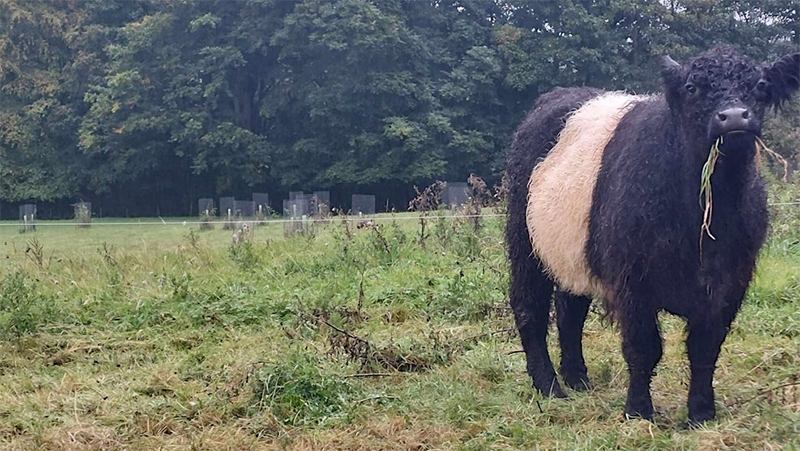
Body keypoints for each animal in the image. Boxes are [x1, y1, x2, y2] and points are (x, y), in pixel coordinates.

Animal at [506, 46, 800, 424]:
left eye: (761, 85)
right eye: (692, 88)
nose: (734, 116)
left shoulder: (729, 283)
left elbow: (705, 349)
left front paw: (702, 413)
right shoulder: (634, 281)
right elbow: (644, 347)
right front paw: (638, 411)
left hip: (573, 248)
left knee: (570, 308)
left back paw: (578, 379)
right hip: (524, 239)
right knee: (530, 306)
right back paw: (549, 386)